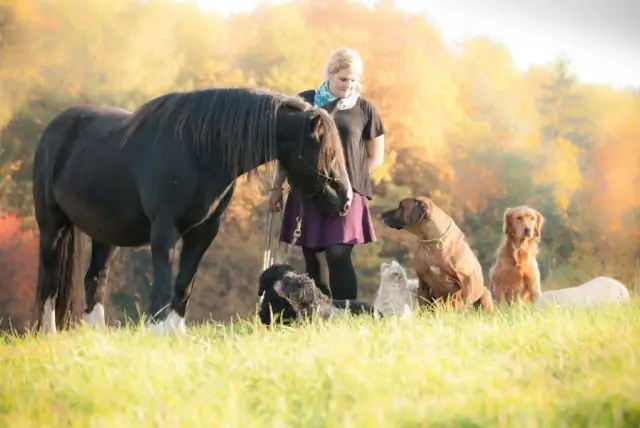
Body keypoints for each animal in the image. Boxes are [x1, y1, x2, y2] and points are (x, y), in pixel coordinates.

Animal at [32, 87, 352, 334]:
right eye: (327, 152)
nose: (345, 200)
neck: (199, 152)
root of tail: (54, 128)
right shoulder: (164, 229)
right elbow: (163, 283)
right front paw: (158, 332)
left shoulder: (204, 231)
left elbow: (184, 284)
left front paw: (176, 333)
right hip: (52, 226)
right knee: (49, 279)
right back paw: (48, 333)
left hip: (105, 234)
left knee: (95, 278)